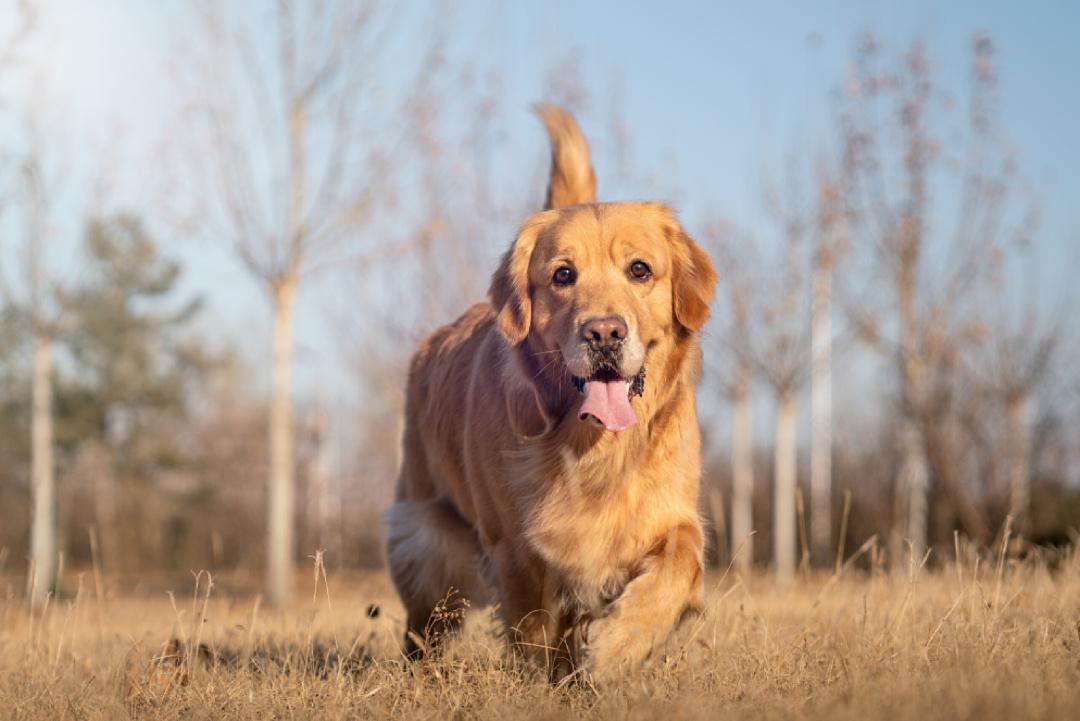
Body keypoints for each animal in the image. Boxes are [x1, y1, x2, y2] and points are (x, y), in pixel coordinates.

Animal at [388, 104, 717, 677]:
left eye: (640, 270)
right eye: (563, 275)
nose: (604, 333)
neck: (590, 445)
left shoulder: (670, 513)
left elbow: (677, 563)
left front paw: (619, 644)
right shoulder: (515, 545)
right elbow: (534, 628)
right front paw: (544, 680)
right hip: (428, 538)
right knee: (426, 619)